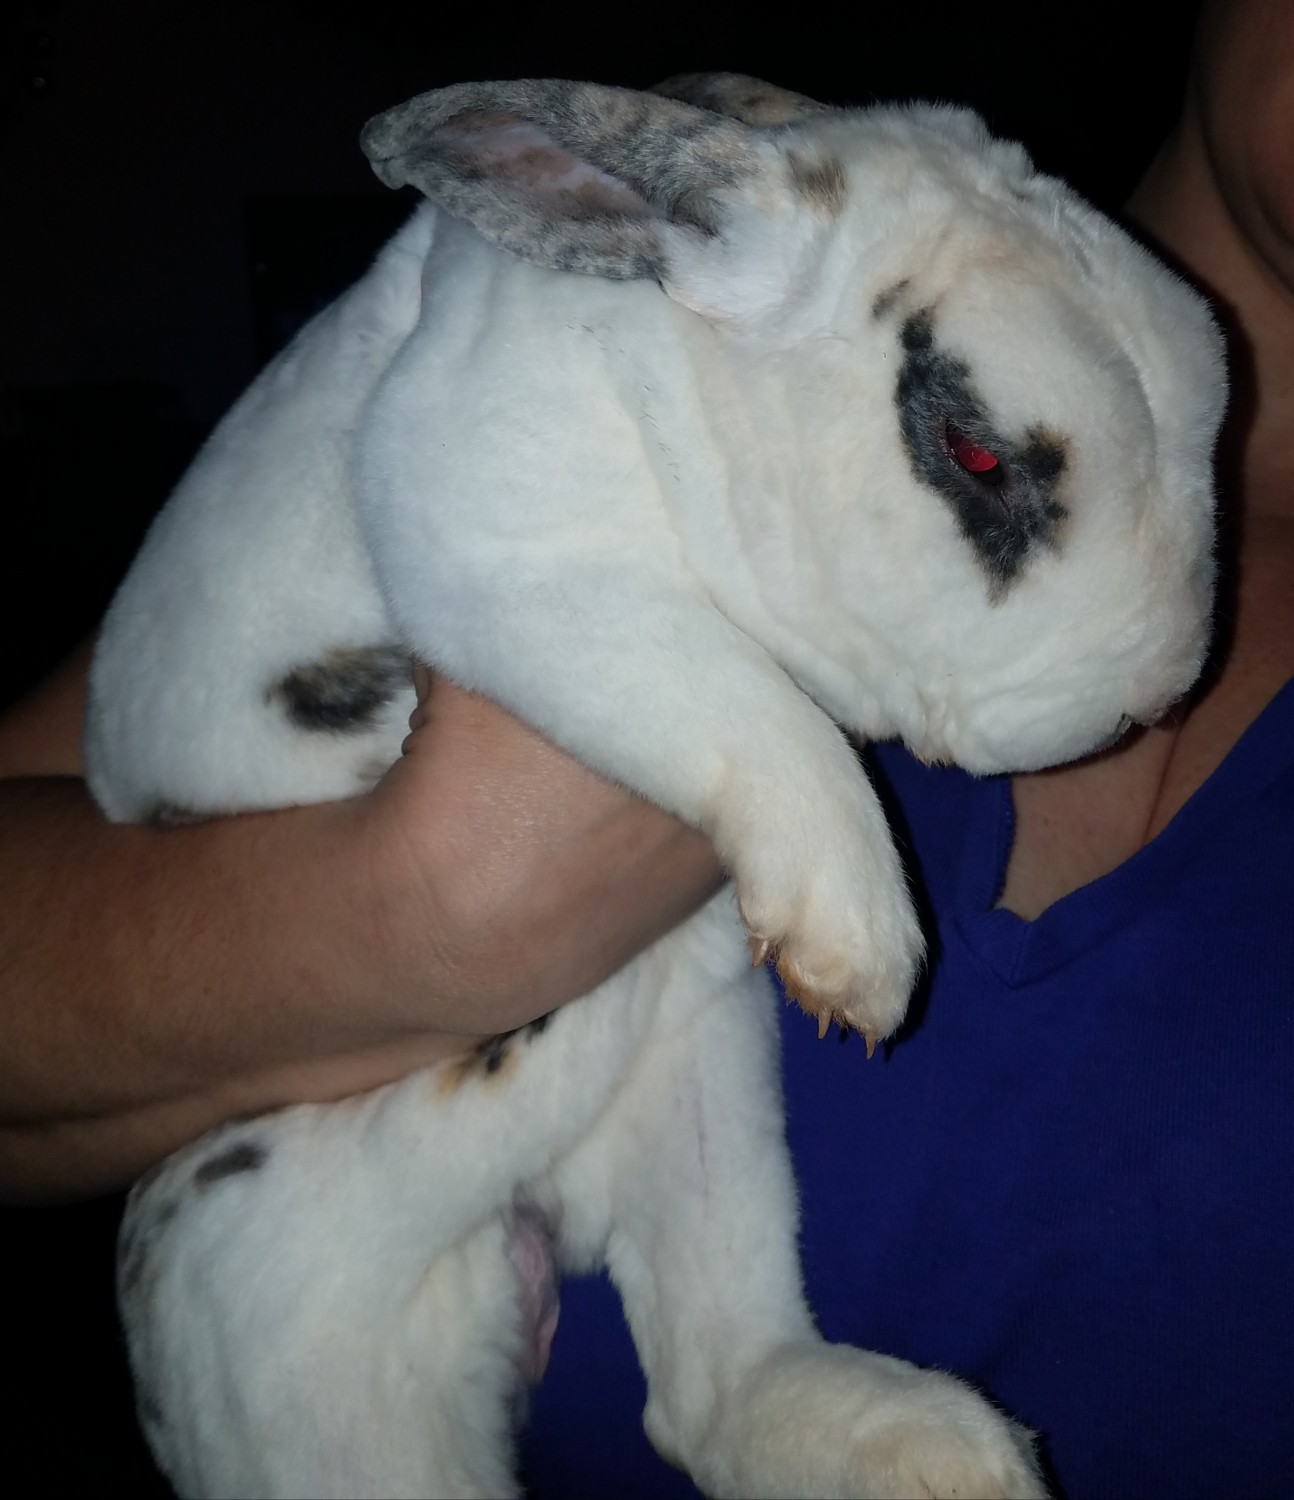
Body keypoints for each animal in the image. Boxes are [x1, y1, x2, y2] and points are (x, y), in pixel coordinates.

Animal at [86, 72, 1225, 1499]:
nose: (1154, 694)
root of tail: (535, 1210)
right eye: (972, 455)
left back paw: (940, 1454)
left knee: (709, 1384)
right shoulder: (513, 554)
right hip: (308, 1368)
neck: (679, 380)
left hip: (712, 1097)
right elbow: (737, 698)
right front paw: (862, 951)